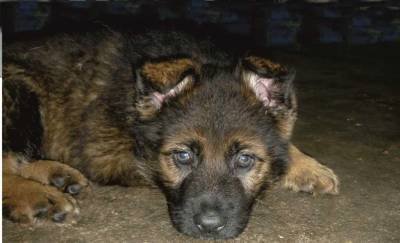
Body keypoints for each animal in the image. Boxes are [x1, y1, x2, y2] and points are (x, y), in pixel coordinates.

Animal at [3, 29, 338, 239]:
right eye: (183, 156)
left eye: (245, 160)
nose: (209, 228)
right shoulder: (107, 155)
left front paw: (308, 168)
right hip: (20, 92)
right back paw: (37, 196)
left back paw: (57, 176)